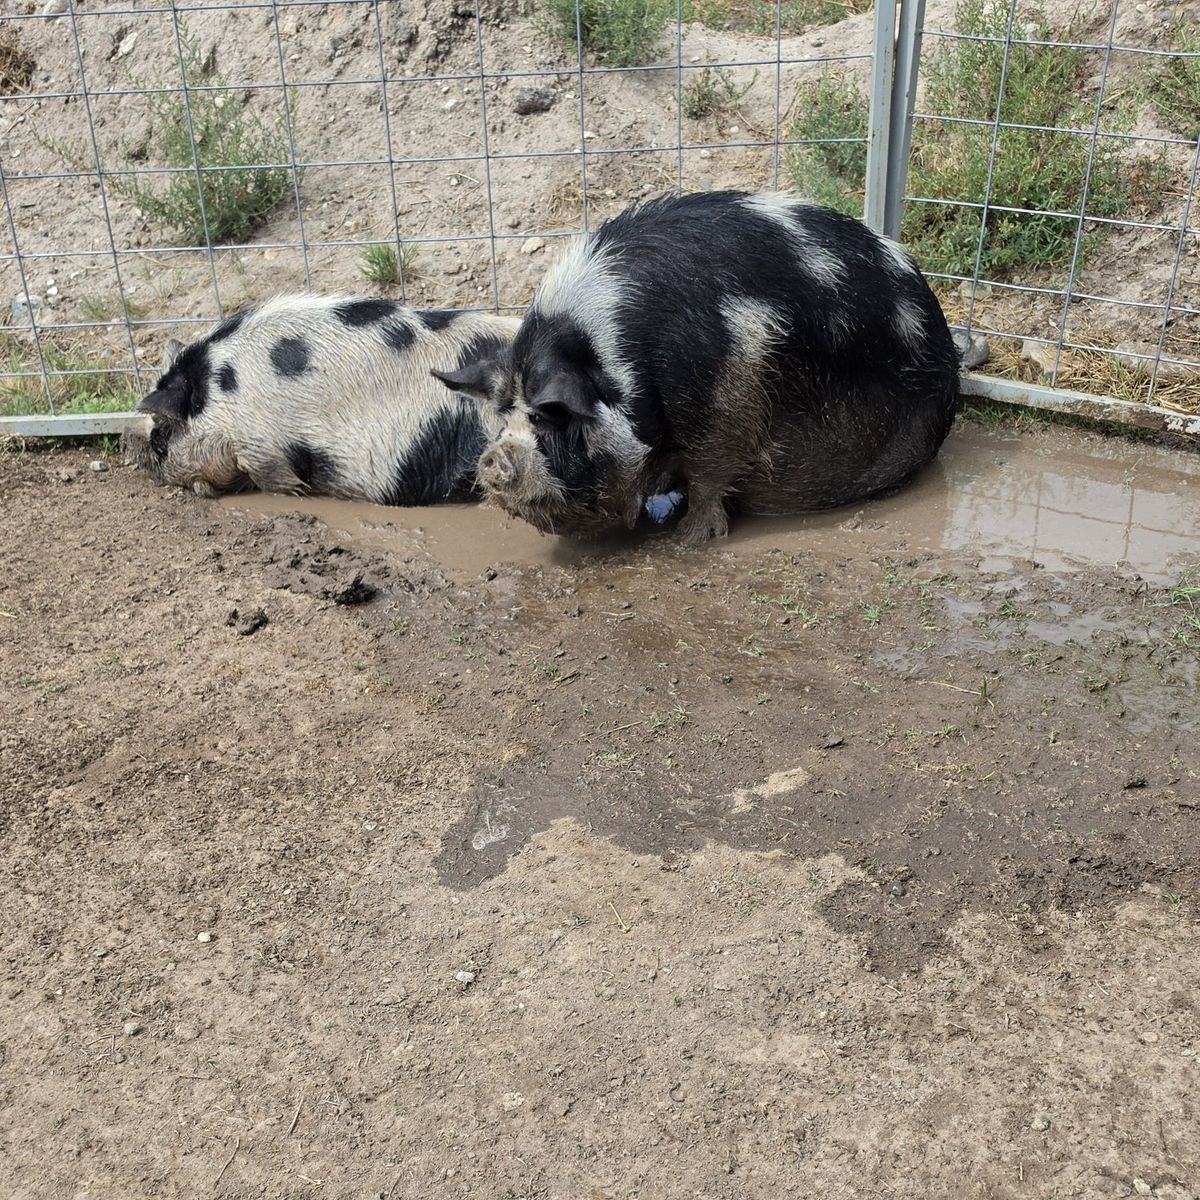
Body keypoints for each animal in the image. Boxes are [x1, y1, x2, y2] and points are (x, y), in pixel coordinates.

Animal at [121, 294, 521, 504]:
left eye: (160, 435)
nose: (127, 438)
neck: (218, 395)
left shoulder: (260, 444)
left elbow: (273, 477)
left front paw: (297, 492)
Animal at [431, 191, 961, 543]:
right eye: (504, 419)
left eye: (550, 416)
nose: (492, 459)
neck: (623, 354)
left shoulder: (734, 382)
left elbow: (711, 470)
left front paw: (687, 540)